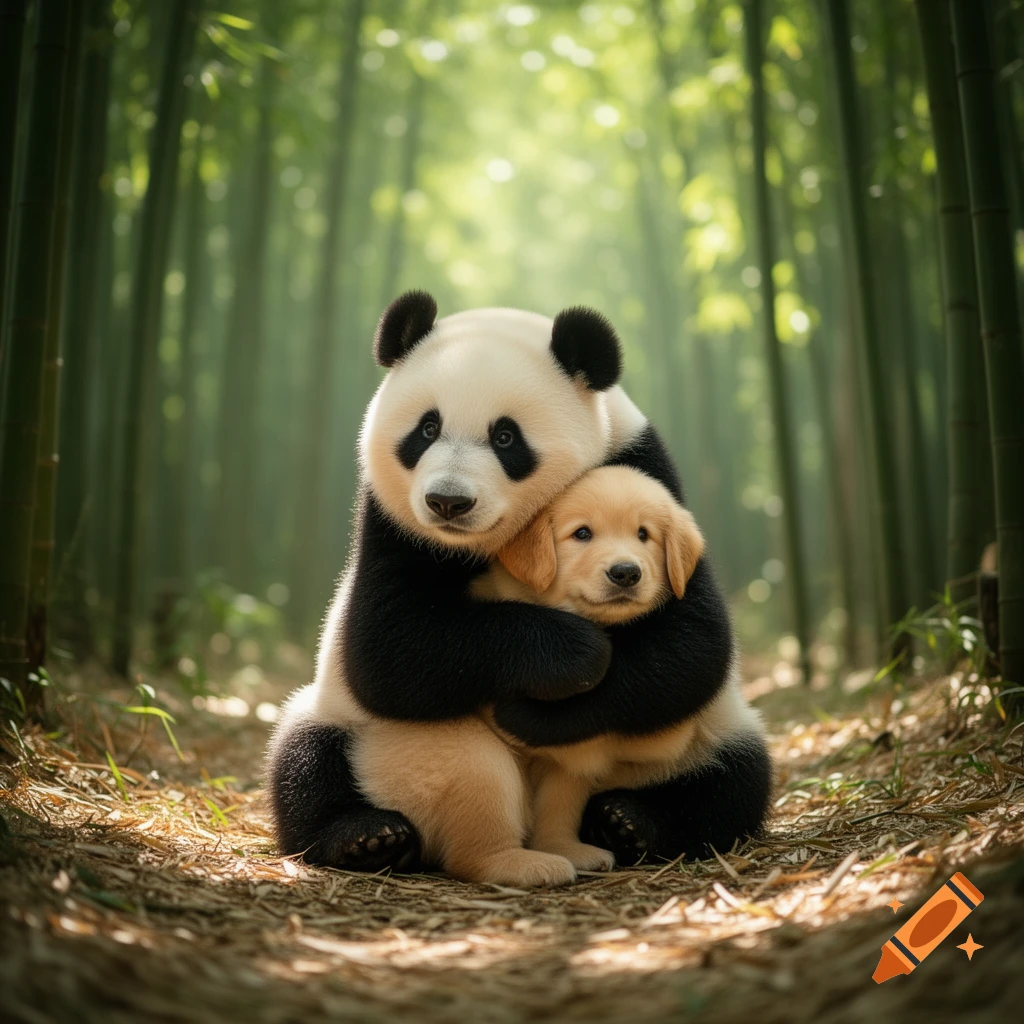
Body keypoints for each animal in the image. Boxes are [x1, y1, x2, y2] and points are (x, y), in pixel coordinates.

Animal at [266, 291, 772, 877]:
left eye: (505, 437)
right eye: (427, 429)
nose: (448, 501)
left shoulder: (643, 464)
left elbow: (692, 646)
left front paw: (538, 716)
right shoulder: (391, 525)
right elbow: (388, 652)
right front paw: (569, 653)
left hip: (708, 738)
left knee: (733, 784)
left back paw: (630, 823)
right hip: (347, 723)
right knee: (303, 764)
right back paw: (368, 838)